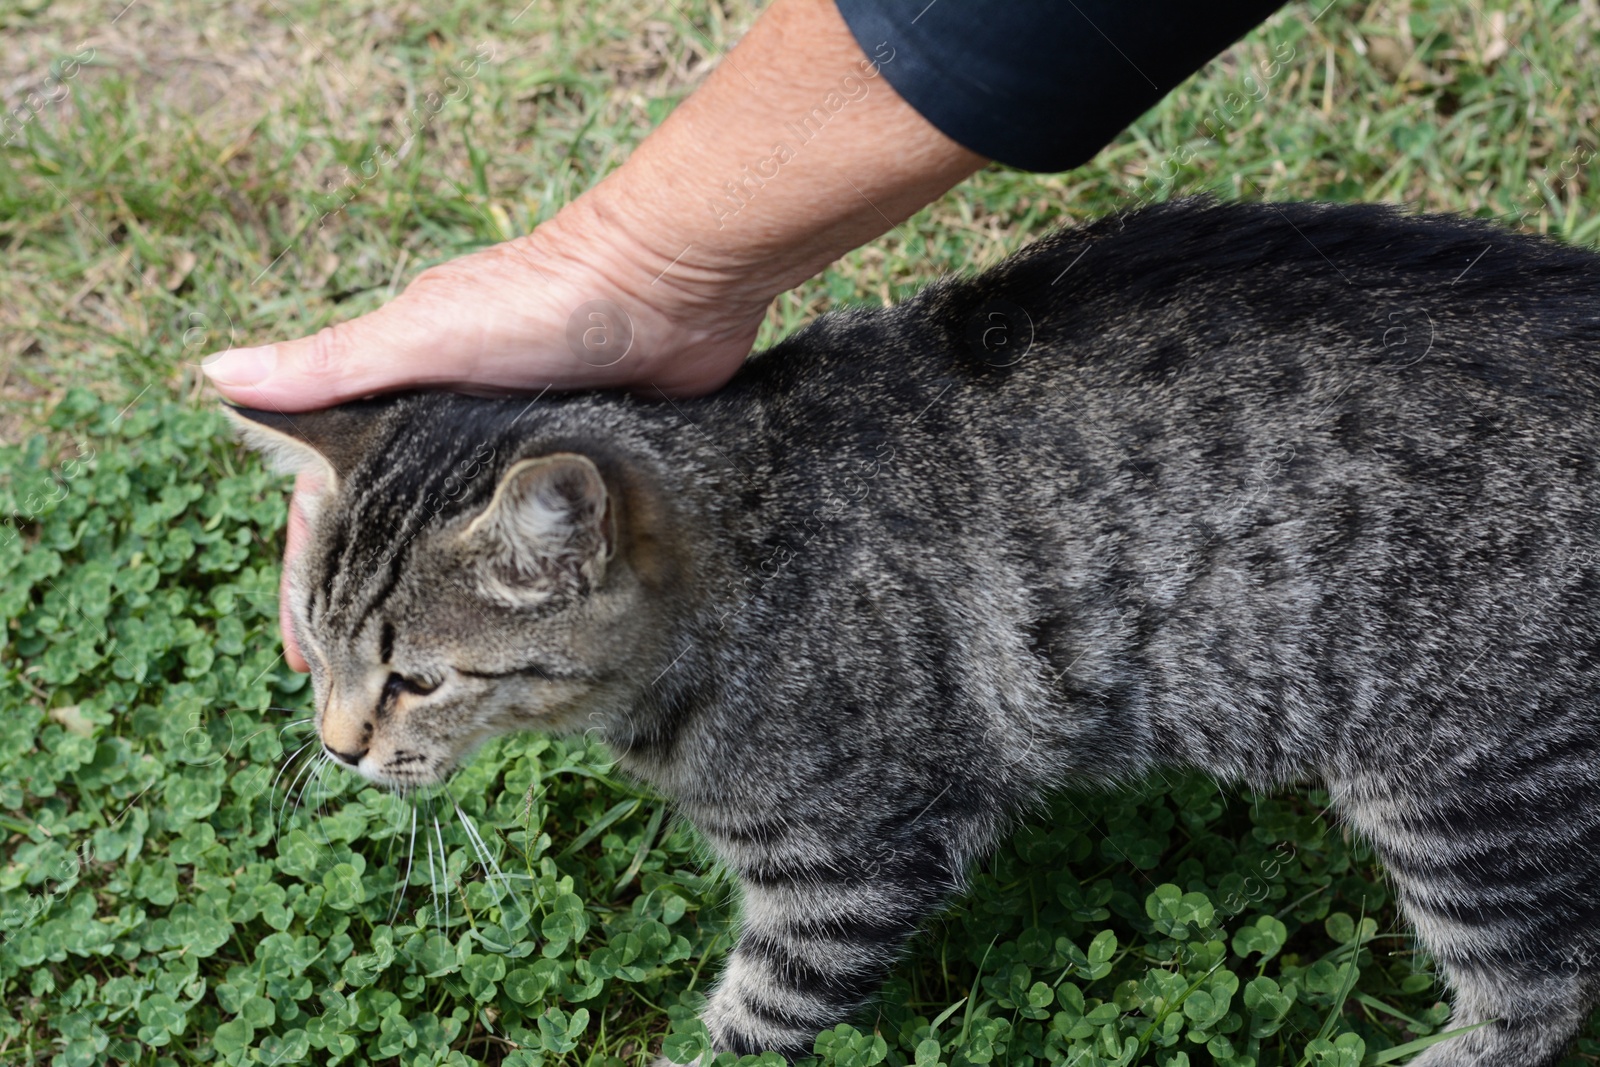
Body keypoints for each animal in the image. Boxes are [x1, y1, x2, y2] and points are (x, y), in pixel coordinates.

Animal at [233, 199, 1600, 1067]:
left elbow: (754, 1018)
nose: (339, 746)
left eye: (416, 680)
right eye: (320, 644)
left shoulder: (848, 858)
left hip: (1461, 788)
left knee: (1543, 990)